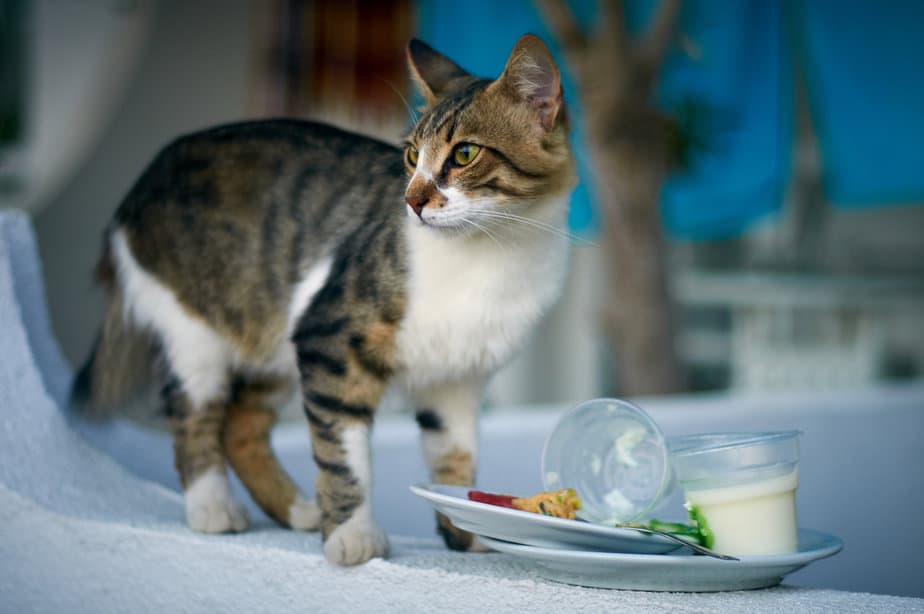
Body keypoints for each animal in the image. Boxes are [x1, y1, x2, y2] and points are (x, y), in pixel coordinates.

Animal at [74, 35, 576, 568]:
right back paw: (213, 508)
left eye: (463, 153)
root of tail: (141, 182)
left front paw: (468, 529)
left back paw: (297, 509)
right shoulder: (330, 341)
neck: (491, 255)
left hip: (275, 344)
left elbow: (455, 461)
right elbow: (344, 458)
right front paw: (352, 535)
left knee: (242, 426)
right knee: (195, 416)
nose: (413, 201)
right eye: (411, 155)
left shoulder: (456, 382)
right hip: (195, 333)